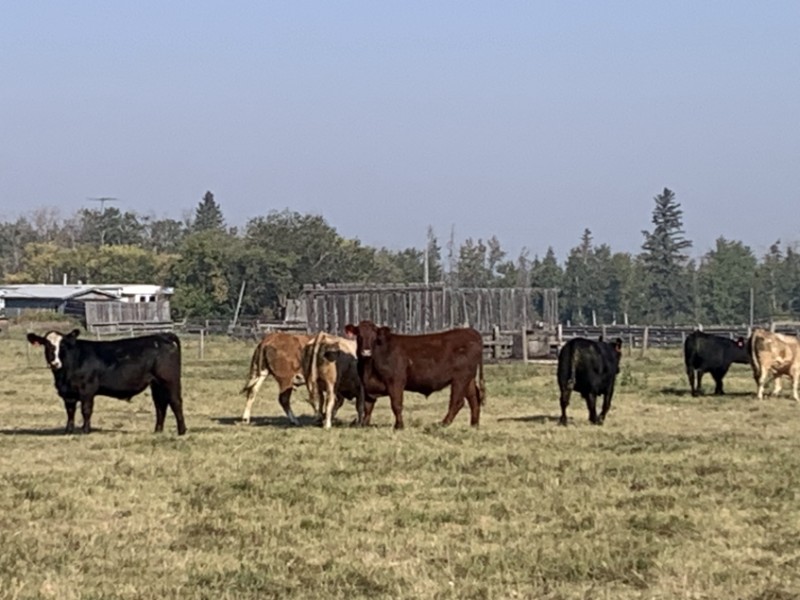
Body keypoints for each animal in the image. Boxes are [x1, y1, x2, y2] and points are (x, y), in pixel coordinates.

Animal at [26, 328, 186, 435]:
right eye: (46, 345)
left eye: (63, 345)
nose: (55, 362)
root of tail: (162, 336)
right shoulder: (67, 393)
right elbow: (70, 411)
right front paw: (68, 431)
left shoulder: (87, 390)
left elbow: (86, 410)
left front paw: (85, 430)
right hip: (156, 384)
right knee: (160, 404)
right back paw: (158, 431)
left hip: (169, 380)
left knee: (175, 402)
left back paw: (182, 431)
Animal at [343, 320, 485, 429]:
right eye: (359, 335)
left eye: (374, 337)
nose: (366, 351)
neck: (369, 368)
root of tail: (471, 332)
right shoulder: (367, 385)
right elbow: (368, 407)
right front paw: (364, 425)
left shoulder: (396, 381)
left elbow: (396, 404)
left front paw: (399, 426)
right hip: (468, 379)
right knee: (474, 400)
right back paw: (474, 425)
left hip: (460, 378)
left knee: (457, 402)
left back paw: (442, 424)